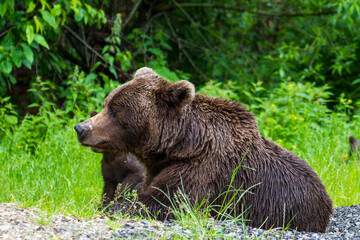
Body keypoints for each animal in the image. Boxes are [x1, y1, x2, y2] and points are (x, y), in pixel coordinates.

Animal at [74, 67, 334, 232]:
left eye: (114, 110)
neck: (179, 146)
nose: (81, 128)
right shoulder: (158, 168)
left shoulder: (201, 170)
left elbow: (167, 201)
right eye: (107, 103)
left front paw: (117, 206)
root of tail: (326, 198)